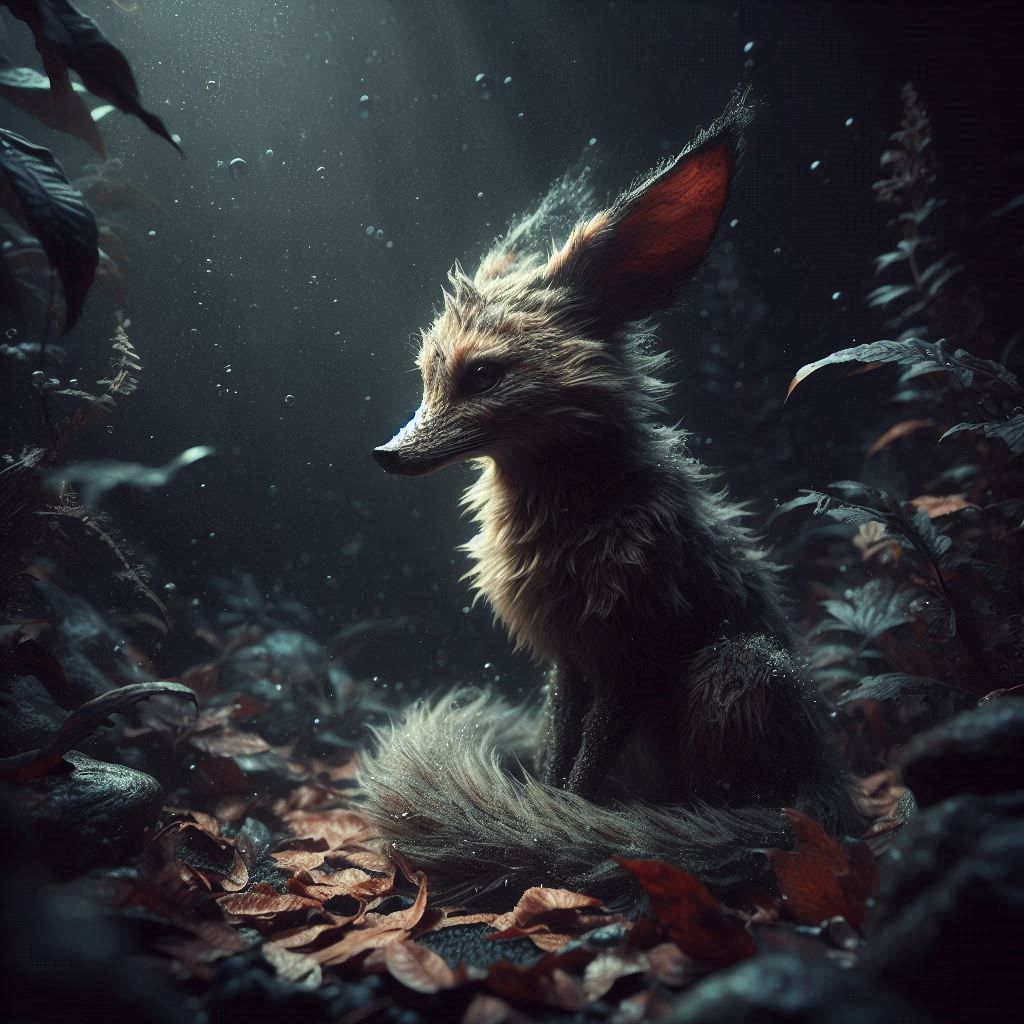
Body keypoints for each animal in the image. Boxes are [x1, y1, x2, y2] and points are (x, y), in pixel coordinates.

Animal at [362, 96, 865, 908]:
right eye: (427, 379)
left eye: (481, 377)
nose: (386, 455)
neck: (568, 521)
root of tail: (835, 782)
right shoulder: (569, 660)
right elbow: (556, 757)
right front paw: (545, 815)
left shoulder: (632, 650)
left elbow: (584, 770)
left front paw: (557, 833)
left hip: (737, 669)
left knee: (745, 804)